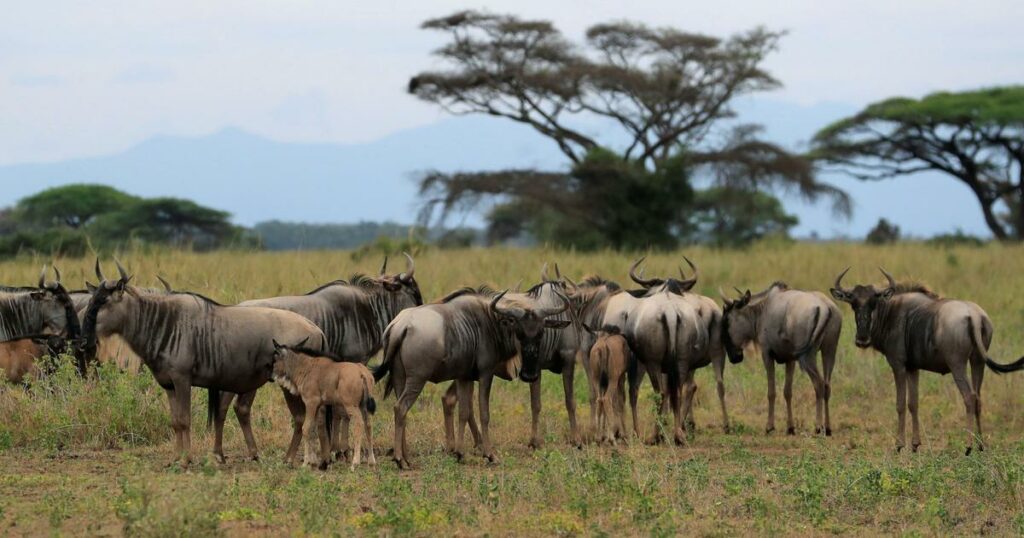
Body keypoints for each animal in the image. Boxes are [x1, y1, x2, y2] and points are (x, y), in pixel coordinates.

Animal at [272, 340, 380, 469]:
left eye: (275, 358)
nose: (272, 376)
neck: (307, 367)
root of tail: (362, 372)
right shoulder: (317, 406)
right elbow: (313, 430)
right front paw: (313, 461)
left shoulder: (311, 403)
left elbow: (306, 428)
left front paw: (306, 462)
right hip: (363, 406)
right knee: (368, 425)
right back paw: (371, 461)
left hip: (351, 406)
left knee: (358, 424)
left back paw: (355, 463)